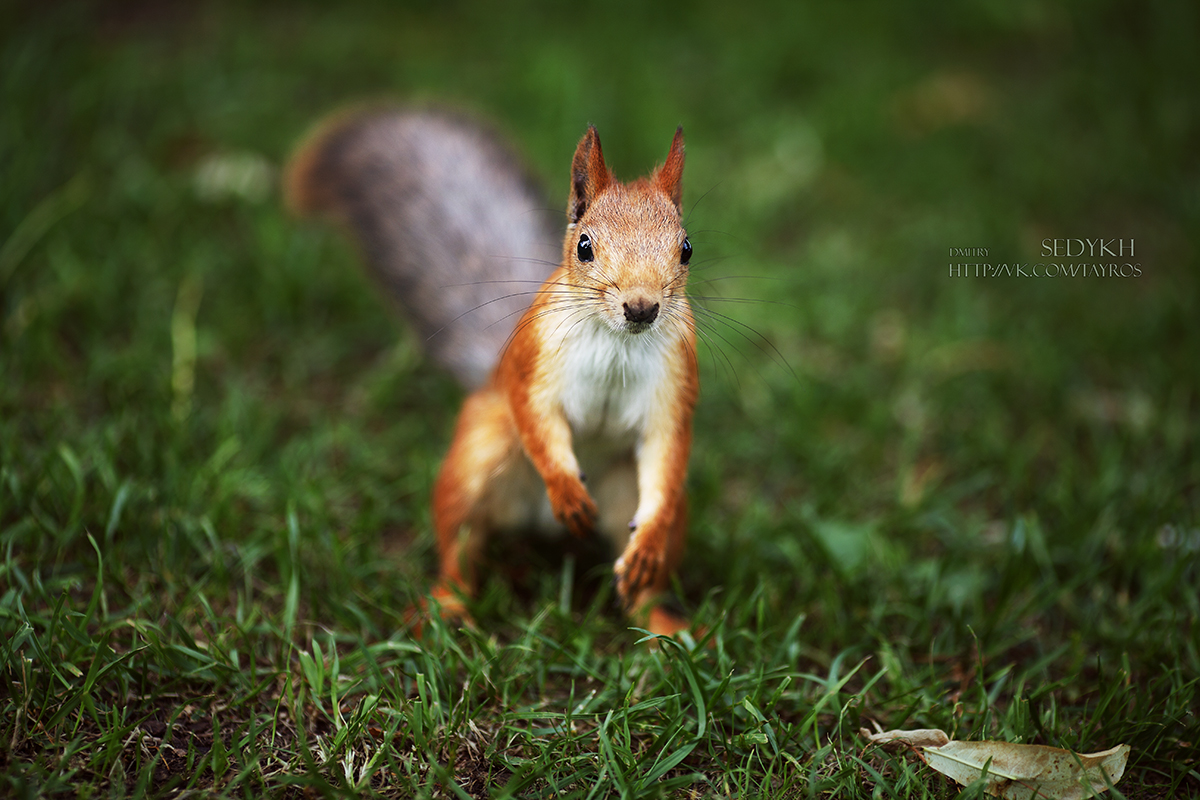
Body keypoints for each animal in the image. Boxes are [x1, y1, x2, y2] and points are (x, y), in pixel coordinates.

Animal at [286, 107, 700, 638]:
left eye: (686, 248)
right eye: (584, 246)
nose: (642, 307)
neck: (617, 344)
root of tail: (536, 521)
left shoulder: (674, 387)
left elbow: (667, 454)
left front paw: (648, 540)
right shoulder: (531, 365)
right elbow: (536, 419)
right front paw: (567, 489)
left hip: (633, 495)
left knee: (643, 582)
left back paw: (664, 624)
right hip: (474, 462)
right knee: (461, 545)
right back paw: (447, 604)